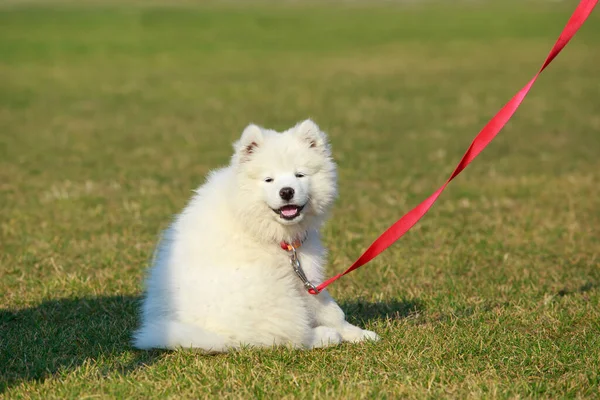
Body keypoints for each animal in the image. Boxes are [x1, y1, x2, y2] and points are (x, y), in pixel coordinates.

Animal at [134, 119, 380, 350]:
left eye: (300, 175)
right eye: (268, 180)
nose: (286, 191)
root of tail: (219, 336)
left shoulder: (305, 275)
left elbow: (331, 310)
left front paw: (360, 334)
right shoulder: (299, 276)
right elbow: (325, 311)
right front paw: (343, 333)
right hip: (269, 290)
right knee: (284, 334)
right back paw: (325, 336)